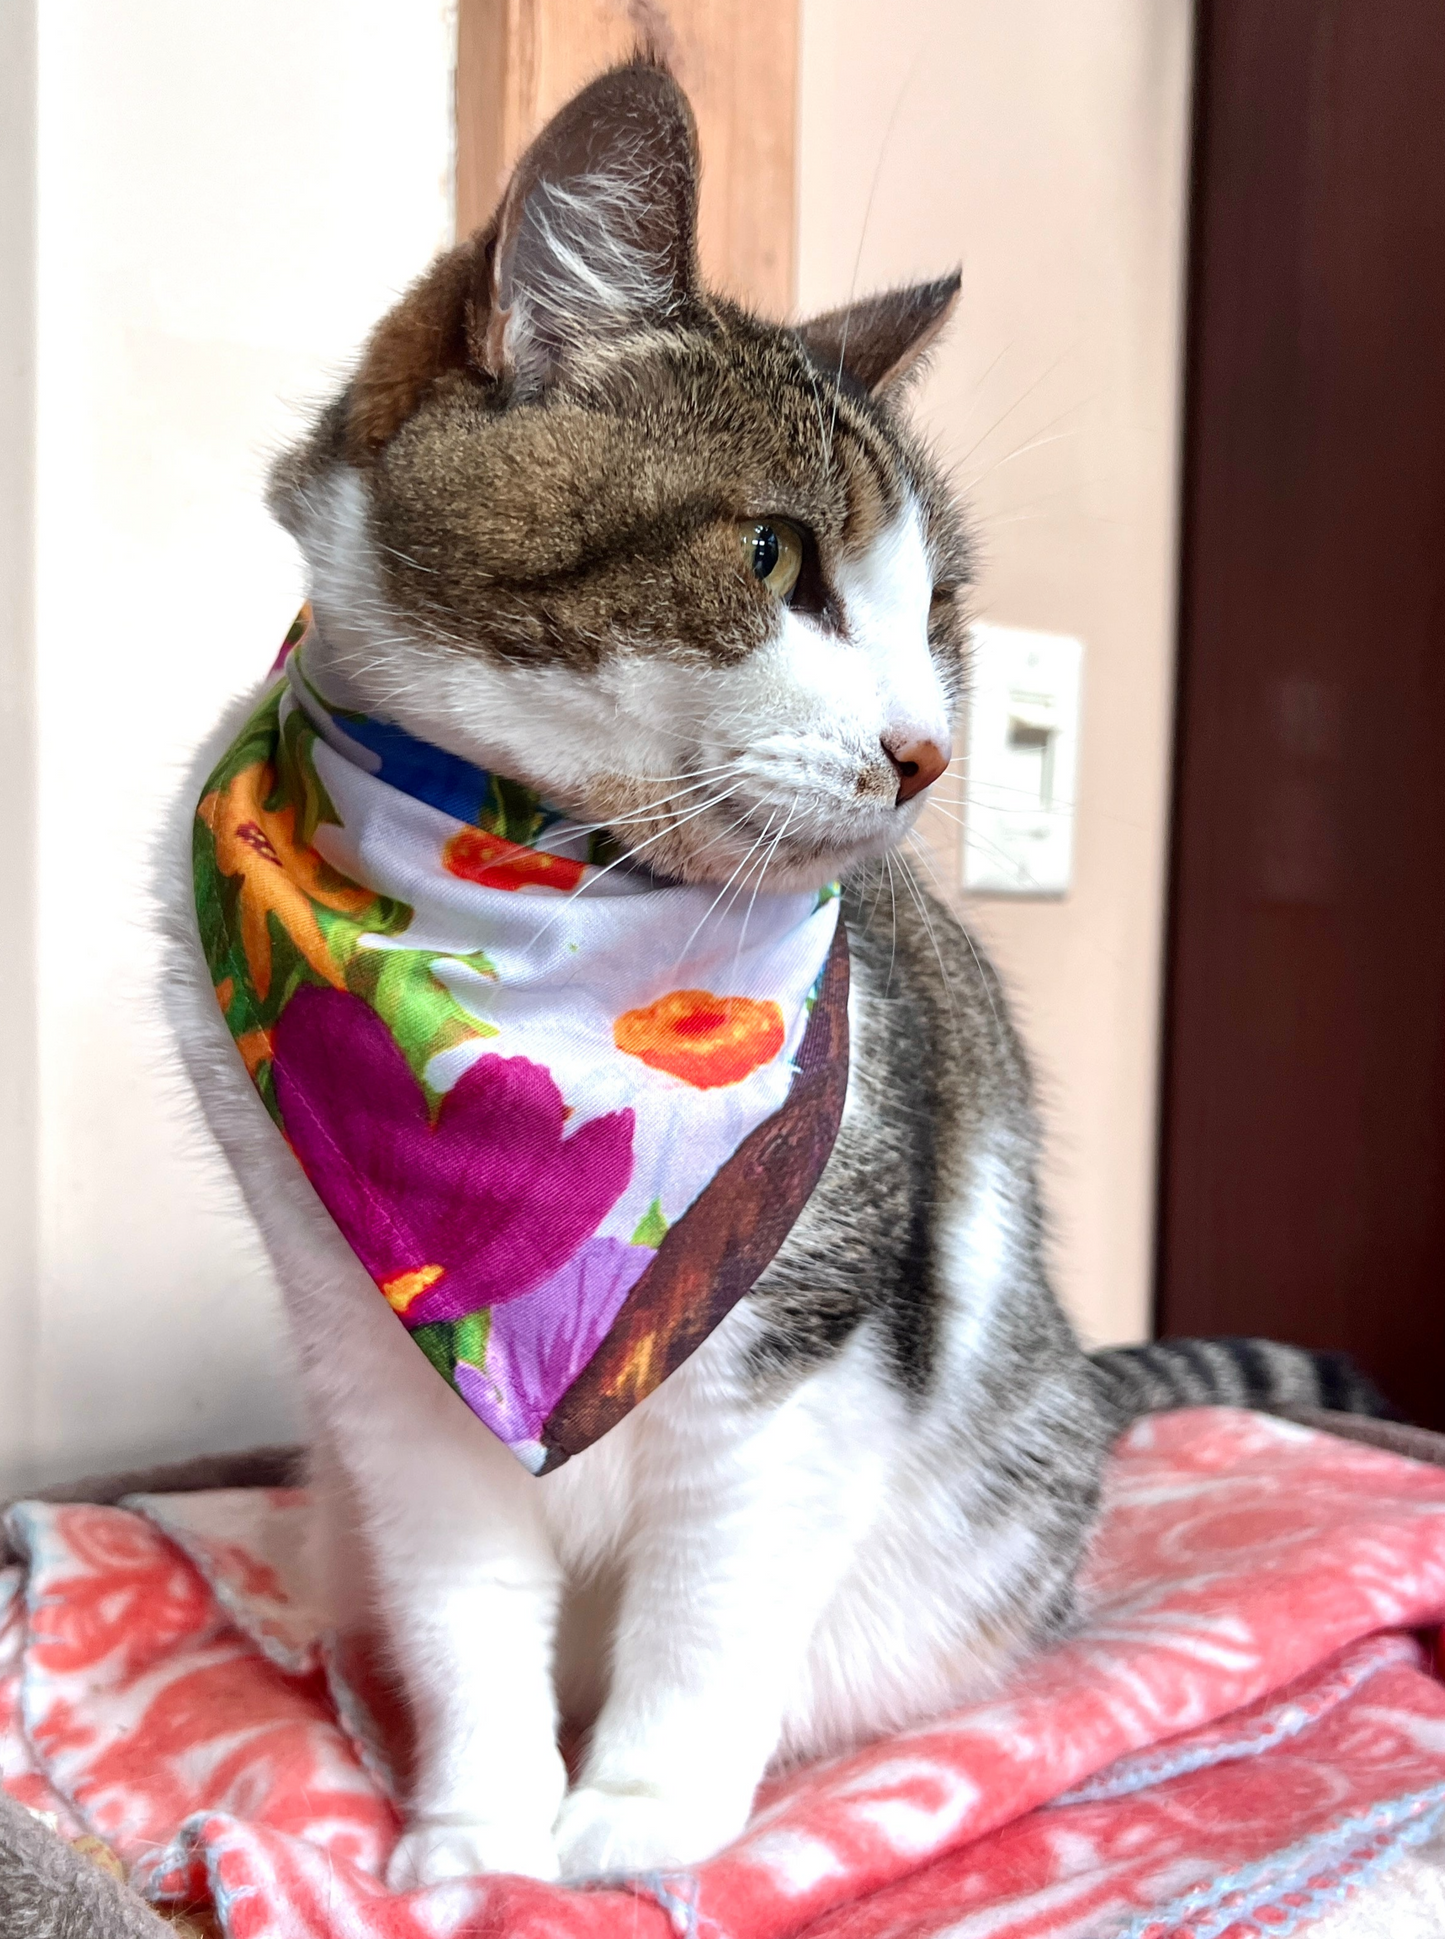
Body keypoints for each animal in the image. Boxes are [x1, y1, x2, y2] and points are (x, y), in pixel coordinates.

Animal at [160, 53, 1388, 1884]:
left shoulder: (801, 1327)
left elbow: (713, 1596)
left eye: (937, 606)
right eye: (769, 560)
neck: (528, 886)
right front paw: (478, 1834)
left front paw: (635, 1823)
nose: (930, 750)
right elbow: (461, 1605)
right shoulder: (376, 1360)